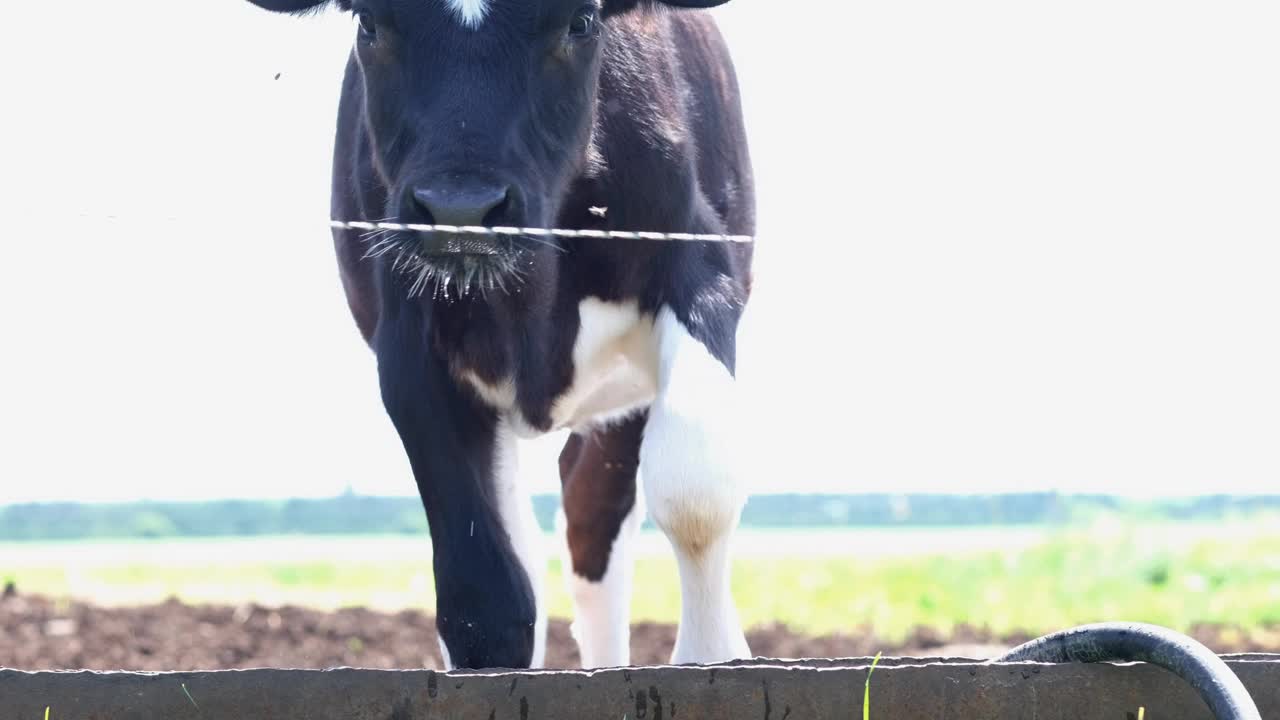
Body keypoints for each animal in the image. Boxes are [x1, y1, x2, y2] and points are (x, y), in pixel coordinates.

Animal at [244, 0, 752, 666]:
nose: (459, 208)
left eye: (581, 24)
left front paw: (714, 655)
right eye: (370, 26)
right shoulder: (409, 339)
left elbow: (696, 489)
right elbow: (485, 598)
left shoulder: (699, 264)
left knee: (593, 518)